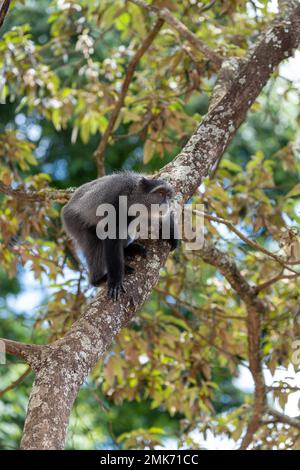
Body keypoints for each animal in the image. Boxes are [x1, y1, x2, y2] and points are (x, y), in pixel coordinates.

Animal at [61, 173, 178, 302]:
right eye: (161, 194)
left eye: (168, 196)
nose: (166, 203)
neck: (134, 195)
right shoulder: (116, 200)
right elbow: (111, 235)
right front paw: (115, 283)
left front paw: (172, 234)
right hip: (75, 222)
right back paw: (98, 279)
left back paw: (127, 250)